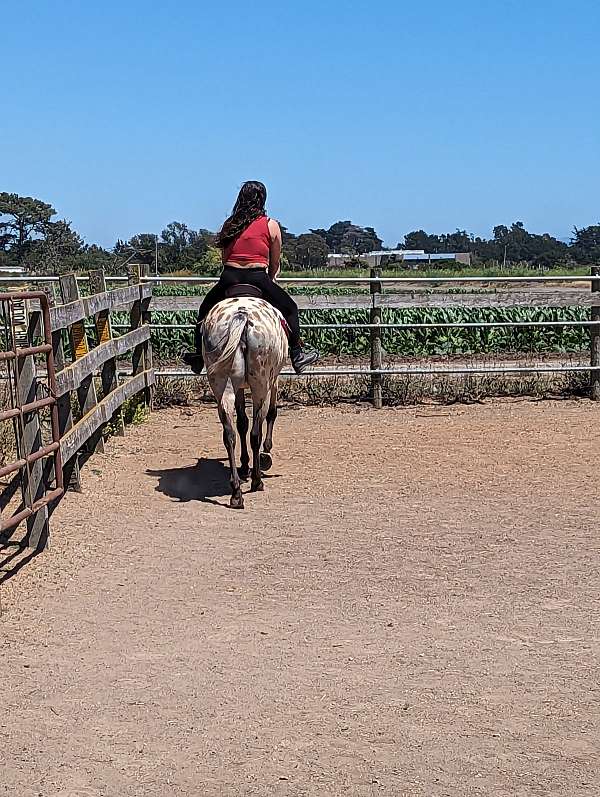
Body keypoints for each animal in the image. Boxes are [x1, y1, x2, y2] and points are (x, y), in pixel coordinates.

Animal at [202, 290, 288, 506]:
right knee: (255, 433)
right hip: (260, 386)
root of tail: (241, 315)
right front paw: (266, 452)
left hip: (222, 386)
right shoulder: (273, 381)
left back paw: (236, 491)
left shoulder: (239, 388)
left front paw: (243, 465)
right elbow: (271, 413)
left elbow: (241, 423)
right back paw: (256, 481)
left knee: (229, 434)